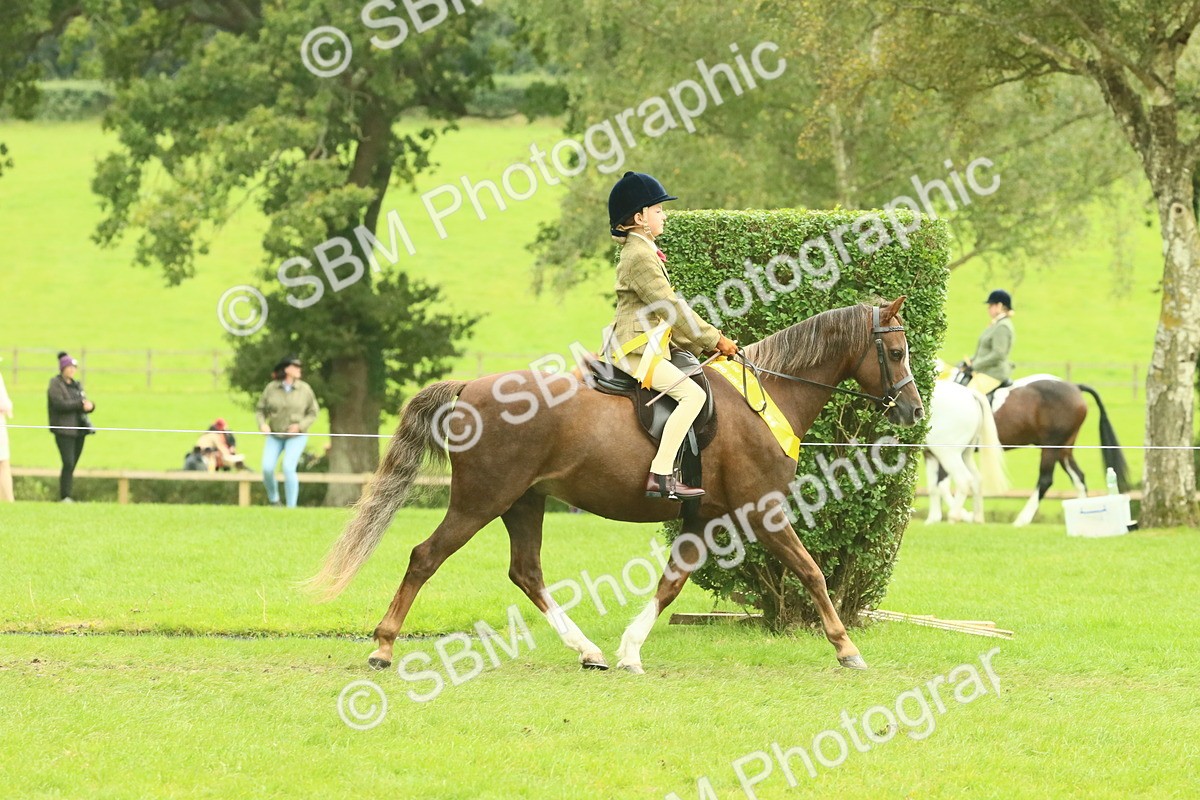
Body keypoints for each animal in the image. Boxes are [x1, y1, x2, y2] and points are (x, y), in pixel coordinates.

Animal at [306, 298, 924, 674]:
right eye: (895, 352)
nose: (914, 411)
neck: (767, 397)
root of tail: (472, 388)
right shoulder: (762, 510)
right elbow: (813, 572)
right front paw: (847, 649)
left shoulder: (706, 517)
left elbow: (672, 583)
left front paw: (629, 651)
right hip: (481, 501)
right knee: (425, 556)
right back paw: (383, 646)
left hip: (524, 502)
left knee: (526, 572)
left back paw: (589, 651)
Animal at [923, 379, 1008, 524]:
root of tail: (970, 394)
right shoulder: (930, 455)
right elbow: (933, 487)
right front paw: (932, 520)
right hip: (964, 454)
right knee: (976, 479)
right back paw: (976, 518)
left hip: (948, 454)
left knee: (963, 479)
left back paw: (954, 516)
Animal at [942, 371, 1129, 526]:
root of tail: (1075, 387)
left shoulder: (948, 449)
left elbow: (945, 484)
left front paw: (959, 515)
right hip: (1064, 449)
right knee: (1078, 477)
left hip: (1051, 446)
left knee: (1045, 480)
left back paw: (1022, 520)